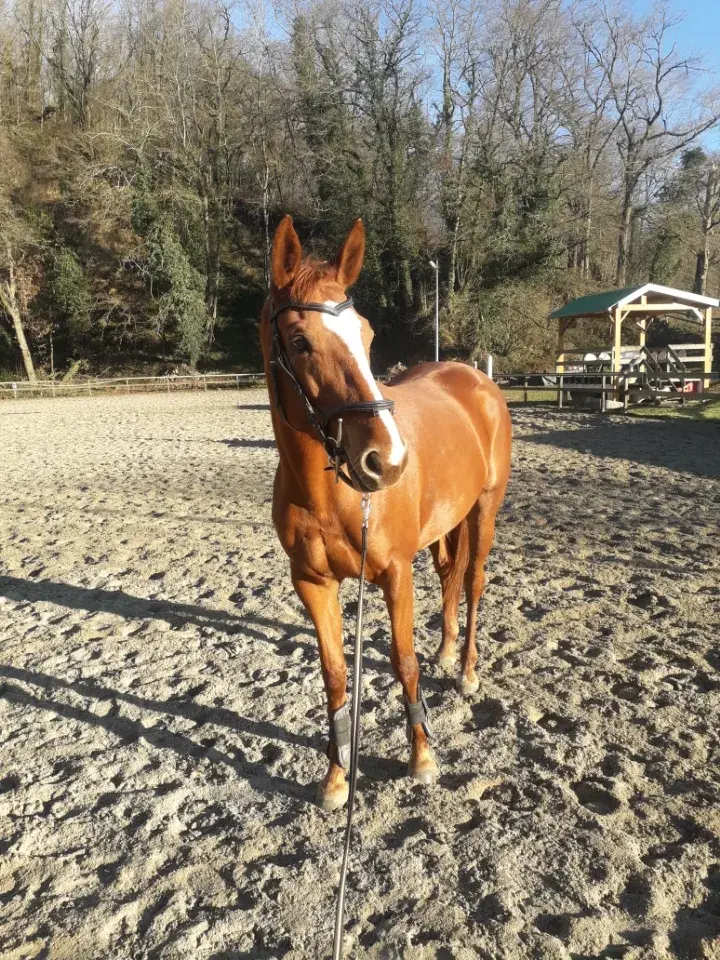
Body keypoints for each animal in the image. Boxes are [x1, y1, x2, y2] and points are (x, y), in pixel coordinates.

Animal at [260, 215, 512, 811]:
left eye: (368, 336)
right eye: (299, 341)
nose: (388, 460)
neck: (331, 495)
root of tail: (475, 378)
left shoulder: (395, 573)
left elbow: (403, 661)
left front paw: (422, 758)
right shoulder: (313, 583)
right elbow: (333, 674)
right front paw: (335, 778)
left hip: (484, 510)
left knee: (472, 581)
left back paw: (466, 671)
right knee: (448, 576)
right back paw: (447, 650)